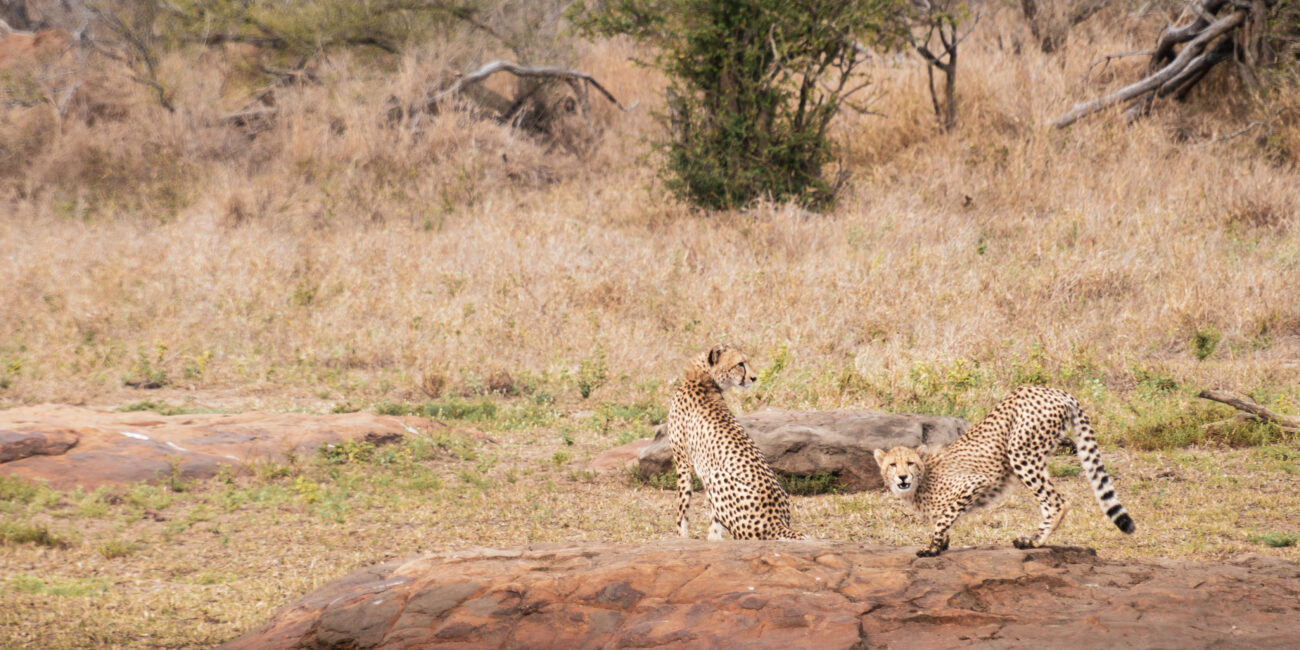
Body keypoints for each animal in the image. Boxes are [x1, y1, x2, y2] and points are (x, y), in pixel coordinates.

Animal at [670, 345, 800, 538]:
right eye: (740, 364)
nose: (754, 378)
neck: (703, 378)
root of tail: (778, 522)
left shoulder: (682, 463)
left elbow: (682, 510)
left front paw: (681, 536)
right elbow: (712, 525)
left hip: (715, 476)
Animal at [873, 382, 1138, 556]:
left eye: (910, 463)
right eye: (892, 465)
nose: (902, 477)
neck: (921, 481)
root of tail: (1053, 389)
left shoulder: (974, 482)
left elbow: (944, 519)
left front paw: (932, 547)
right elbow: (943, 519)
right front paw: (943, 543)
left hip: (1021, 452)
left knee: (1058, 501)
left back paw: (1034, 542)